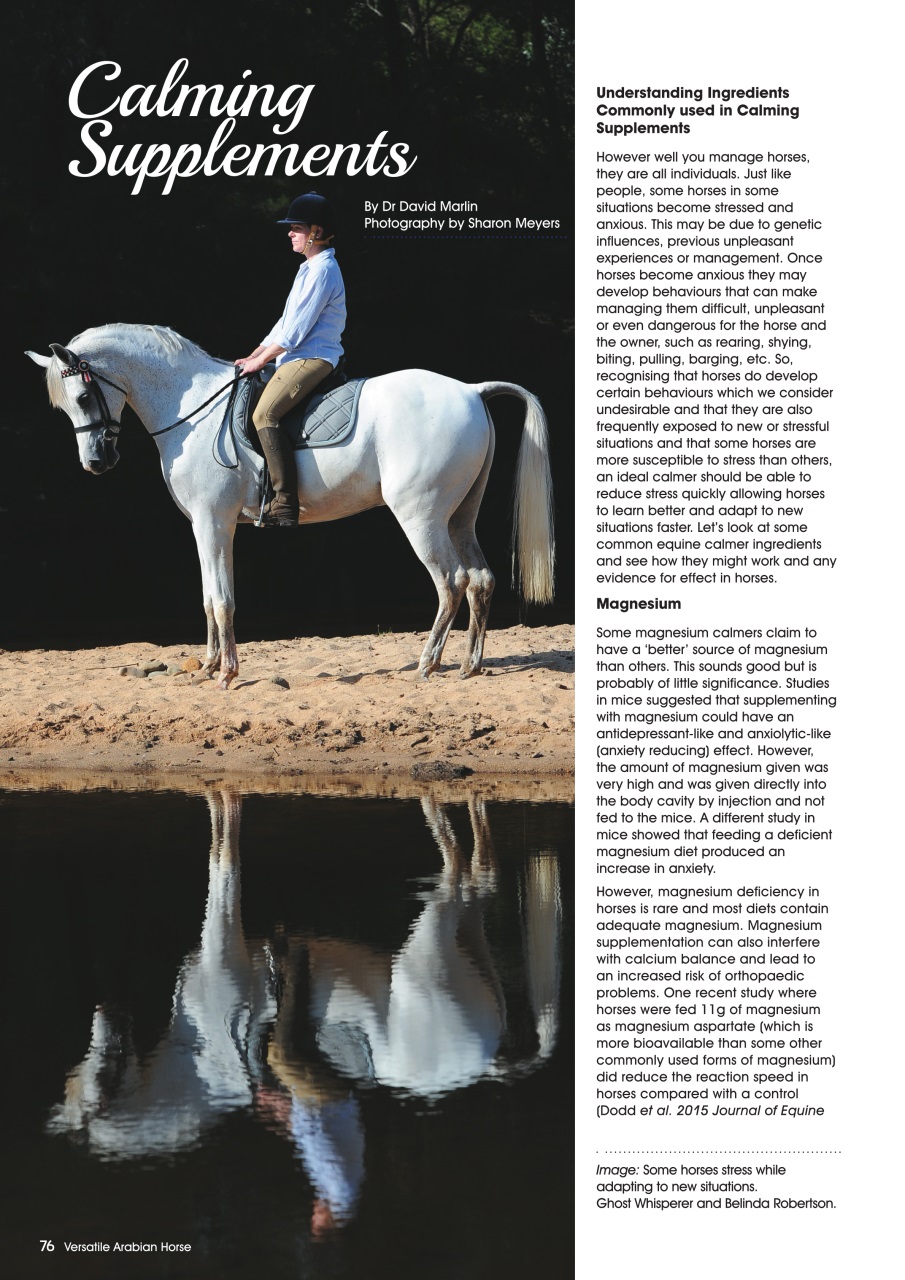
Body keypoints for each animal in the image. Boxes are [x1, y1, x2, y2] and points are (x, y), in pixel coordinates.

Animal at [26, 325, 554, 688]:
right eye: (64, 406)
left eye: (82, 395)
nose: (97, 462)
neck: (191, 405)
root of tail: (469, 389)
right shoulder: (205, 525)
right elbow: (209, 596)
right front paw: (210, 665)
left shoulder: (213, 523)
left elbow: (223, 598)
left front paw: (228, 673)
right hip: (459, 516)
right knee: (480, 580)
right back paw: (469, 665)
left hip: (420, 517)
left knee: (450, 582)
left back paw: (428, 663)